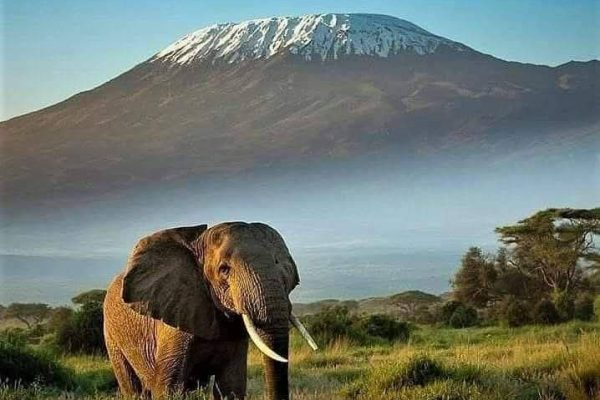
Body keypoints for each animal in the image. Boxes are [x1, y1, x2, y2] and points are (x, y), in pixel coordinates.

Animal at [102, 222, 318, 400]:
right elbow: (168, 388)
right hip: (112, 336)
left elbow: (231, 386)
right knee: (133, 389)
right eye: (224, 269)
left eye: (278, 263)